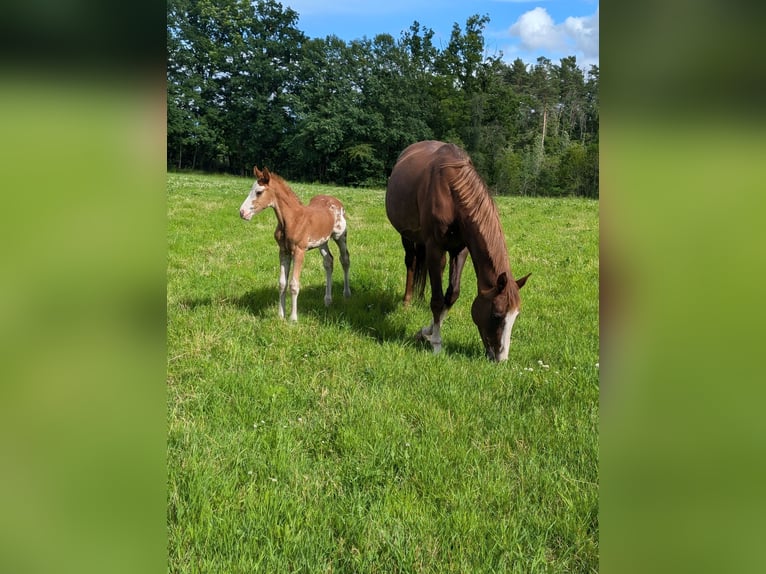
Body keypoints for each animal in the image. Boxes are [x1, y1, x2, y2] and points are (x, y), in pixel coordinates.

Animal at [238, 166, 352, 324]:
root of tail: (336, 201)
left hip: (340, 236)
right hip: (322, 242)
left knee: (345, 259)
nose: (242, 212)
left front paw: (293, 319)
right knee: (329, 262)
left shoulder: (299, 251)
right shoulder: (283, 251)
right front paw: (280, 315)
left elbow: (293, 284)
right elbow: (282, 283)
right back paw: (327, 300)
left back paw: (346, 294)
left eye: (259, 192)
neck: (292, 220)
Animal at [388, 141, 532, 362]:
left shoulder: (460, 250)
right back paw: (407, 301)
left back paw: (420, 299)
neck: (451, 192)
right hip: (407, 236)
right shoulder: (435, 247)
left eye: (516, 315)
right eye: (497, 315)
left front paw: (426, 332)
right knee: (411, 263)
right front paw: (436, 344)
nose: (501, 359)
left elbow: (452, 295)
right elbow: (438, 300)